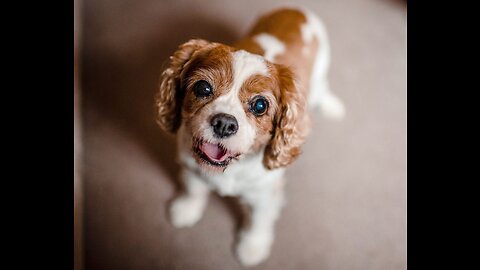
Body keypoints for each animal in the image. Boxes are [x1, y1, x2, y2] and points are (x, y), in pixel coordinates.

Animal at [156, 6, 344, 268]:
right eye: (203, 88)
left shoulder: (263, 196)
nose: (224, 123)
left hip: (320, 70)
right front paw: (187, 209)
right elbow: (194, 189)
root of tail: (296, 9)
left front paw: (252, 248)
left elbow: (258, 222)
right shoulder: (192, 167)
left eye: (260, 105)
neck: (231, 167)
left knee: (322, 88)